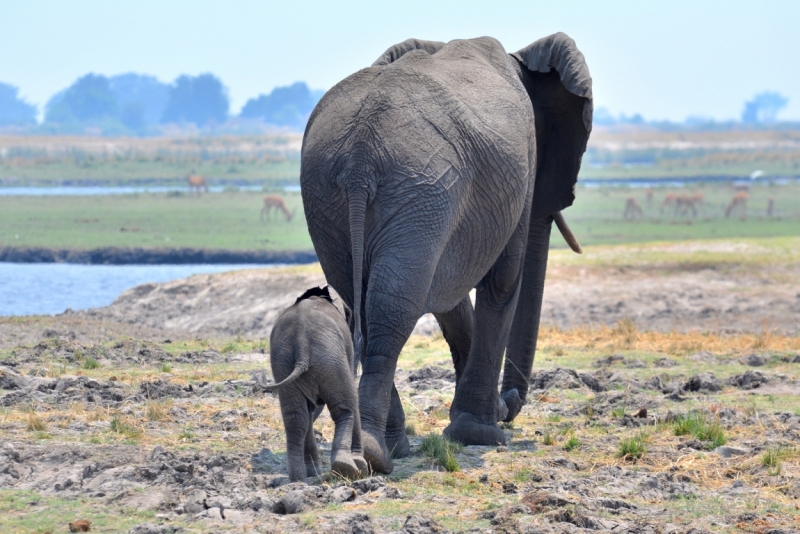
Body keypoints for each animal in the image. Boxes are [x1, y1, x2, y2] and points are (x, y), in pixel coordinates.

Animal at [260, 286, 368, 484]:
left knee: (296, 419)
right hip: (330, 359)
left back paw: (299, 480)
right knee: (345, 407)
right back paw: (348, 468)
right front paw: (361, 466)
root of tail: (301, 343)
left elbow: (307, 414)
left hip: (284, 363)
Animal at [304, 33, 592, 474]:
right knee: (394, 306)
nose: (509, 406)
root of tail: (359, 156)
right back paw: (373, 454)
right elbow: (503, 279)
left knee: (366, 301)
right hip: (419, 186)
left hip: (337, 193)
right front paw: (481, 434)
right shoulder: (522, 159)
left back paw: (377, 451)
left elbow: (449, 294)